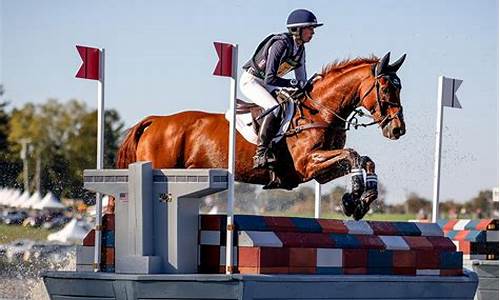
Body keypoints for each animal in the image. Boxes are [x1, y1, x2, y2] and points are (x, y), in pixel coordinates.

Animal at [117, 52, 406, 219]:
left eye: (399, 88)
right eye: (385, 88)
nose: (397, 129)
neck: (320, 110)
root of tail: (156, 120)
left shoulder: (319, 171)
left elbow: (365, 159)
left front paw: (359, 201)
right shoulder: (308, 164)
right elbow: (354, 155)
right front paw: (354, 196)